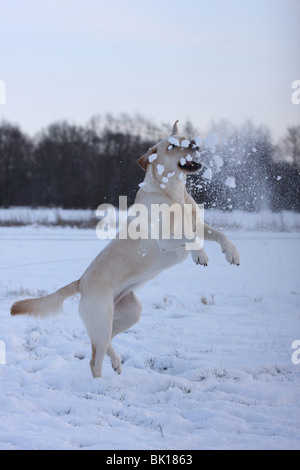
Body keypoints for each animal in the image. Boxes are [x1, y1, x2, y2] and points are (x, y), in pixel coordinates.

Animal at [10, 121, 239, 378]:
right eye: (171, 145)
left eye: (185, 138)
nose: (194, 143)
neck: (173, 193)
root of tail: (81, 282)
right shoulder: (163, 238)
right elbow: (190, 237)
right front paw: (199, 253)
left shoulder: (198, 225)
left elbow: (219, 234)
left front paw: (232, 253)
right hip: (102, 319)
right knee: (94, 360)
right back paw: (102, 384)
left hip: (130, 313)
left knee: (106, 341)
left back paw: (117, 362)